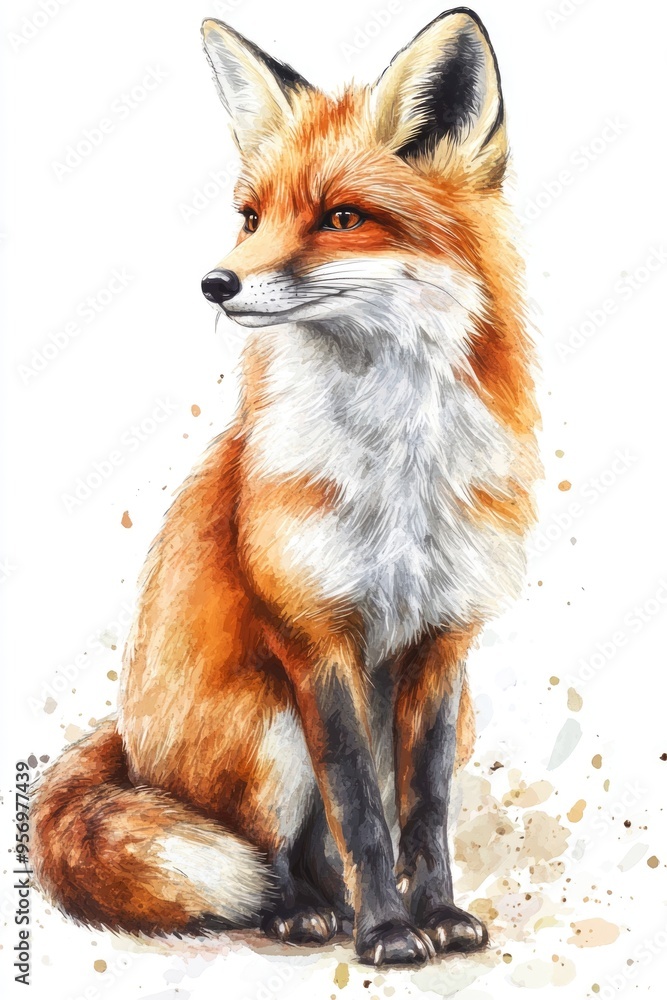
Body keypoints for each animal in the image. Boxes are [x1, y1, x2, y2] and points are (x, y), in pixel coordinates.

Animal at [32, 7, 540, 967]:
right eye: (250, 217)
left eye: (341, 217)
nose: (215, 282)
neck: (397, 472)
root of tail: (129, 740)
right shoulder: (313, 637)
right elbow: (359, 812)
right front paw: (387, 933)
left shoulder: (443, 641)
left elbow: (420, 812)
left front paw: (438, 916)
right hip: (267, 733)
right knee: (276, 852)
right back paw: (307, 912)